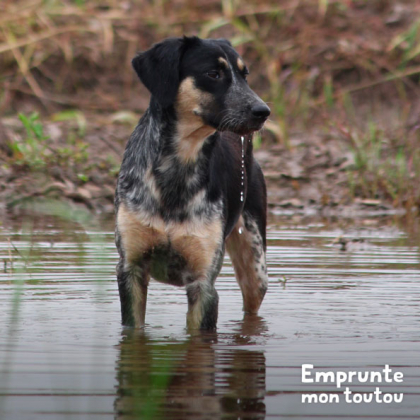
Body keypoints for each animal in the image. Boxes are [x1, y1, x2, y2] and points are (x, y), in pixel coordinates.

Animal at [115, 36, 270, 330]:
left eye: (244, 75)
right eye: (213, 74)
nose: (263, 111)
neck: (179, 163)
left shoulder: (203, 283)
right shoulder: (130, 269)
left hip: (256, 267)